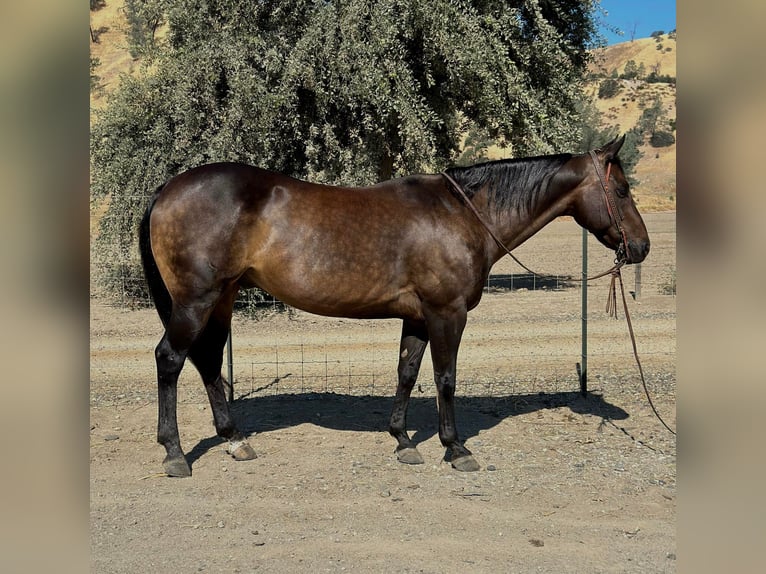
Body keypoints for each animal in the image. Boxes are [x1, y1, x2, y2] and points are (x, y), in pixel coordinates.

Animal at [136, 134, 648, 476]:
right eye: (622, 190)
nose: (641, 247)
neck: (462, 214)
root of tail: (167, 189)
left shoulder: (418, 317)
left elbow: (406, 372)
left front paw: (403, 441)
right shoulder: (447, 313)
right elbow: (445, 378)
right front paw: (455, 448)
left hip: (221, 299)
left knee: (206, 361)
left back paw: (234, 439)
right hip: (196, 301)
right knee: (170, 359)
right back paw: (175, 453)